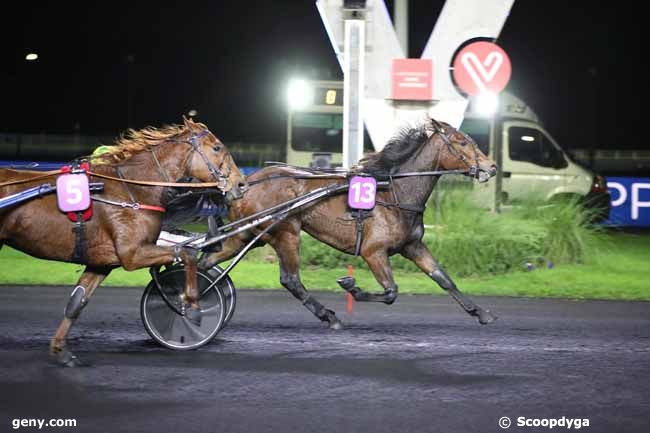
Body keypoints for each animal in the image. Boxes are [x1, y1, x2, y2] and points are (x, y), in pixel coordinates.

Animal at [0, 116, 246, 362]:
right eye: (217, 148)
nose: (241, 184)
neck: (132, 188)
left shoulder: (102, 262)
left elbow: (77, 302)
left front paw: (60, 350)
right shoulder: (132, 254)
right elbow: (188, 254)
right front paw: (190, 306)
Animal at [201, 118, 496, 328]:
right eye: (461, 142)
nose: (491, 167)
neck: (395, 192)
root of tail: (245, 183)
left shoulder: (413, 246)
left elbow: (443, 279)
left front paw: (481, 313)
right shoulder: (373, 251)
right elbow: (391, 292)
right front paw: (351, 285)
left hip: (249, 235)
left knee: (208, 260)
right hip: (285, 233)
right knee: (290, 279)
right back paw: (329, 316)